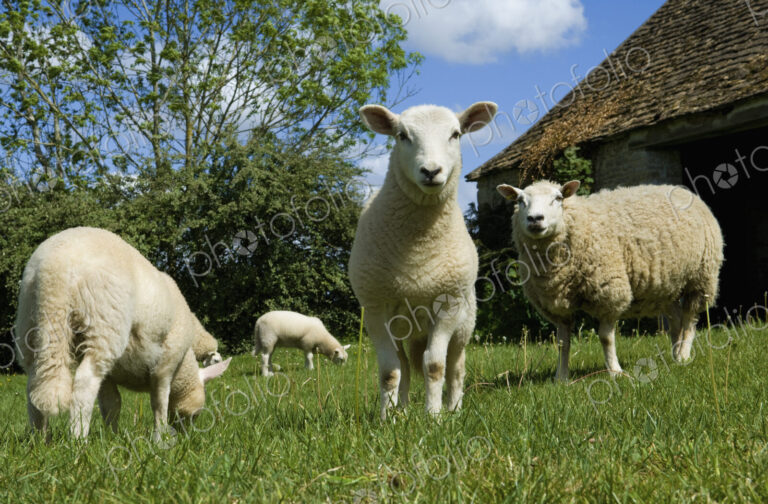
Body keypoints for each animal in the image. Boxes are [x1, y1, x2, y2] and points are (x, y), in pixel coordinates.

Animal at [13, 226, 232, 440]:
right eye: (196, 414)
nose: (187, 437)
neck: (184, 364)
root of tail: (55, 266)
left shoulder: (111, 375)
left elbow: (112, 404)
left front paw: (112, 437)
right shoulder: (165, 365)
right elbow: (159, 403)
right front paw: (160, 437)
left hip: (30, 322)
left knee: (35, 382)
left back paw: (40, 439)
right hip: (104, 324)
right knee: (85, 382)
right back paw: (78, 440)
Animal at [348, 101, 498, 419]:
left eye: (456, 134)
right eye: (402, 135)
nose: (431, 171)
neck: (418, 251)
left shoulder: (448, 304)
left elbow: (435, 366)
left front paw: (434, 416)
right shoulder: (376, 308)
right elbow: (390, 371)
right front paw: (388, 419)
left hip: (464, 324)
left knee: (456, 367)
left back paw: (454, 408)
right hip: (403, 326)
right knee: (404, 365)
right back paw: (403, 410)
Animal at [496, 180, 724, 381]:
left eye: (558, 198)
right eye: (520, 200)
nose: (535, 219)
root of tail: (683, 190)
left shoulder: (610, 292)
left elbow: (605, 338)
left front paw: (615, 372)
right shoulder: (557, 305)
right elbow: (562, 343)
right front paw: (561, 378)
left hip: (701, 276)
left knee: (690, 317)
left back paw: (684, 354)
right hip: (667, 286)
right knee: (676, 318)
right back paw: (675, 354)